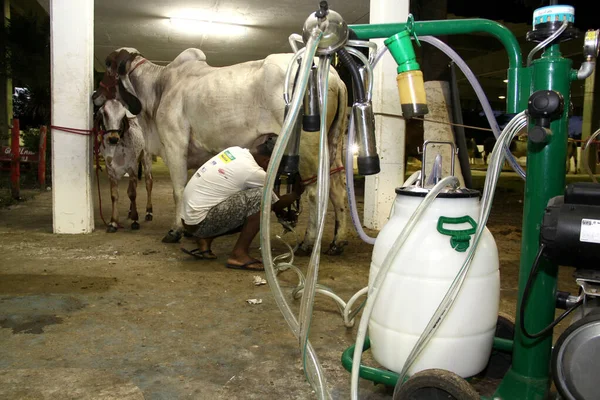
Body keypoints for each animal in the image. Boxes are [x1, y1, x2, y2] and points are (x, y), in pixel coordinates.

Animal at [97, 98, 154, 233]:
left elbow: (132, 194)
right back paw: (130, 211)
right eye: (105, 113)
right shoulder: (111, 172)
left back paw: (149, 212)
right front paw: (113, 222)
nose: (113, 138)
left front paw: (135, 220)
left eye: (123, 114)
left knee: (148, 182)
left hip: (146, 158)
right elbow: (114, 195)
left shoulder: (132, 168)